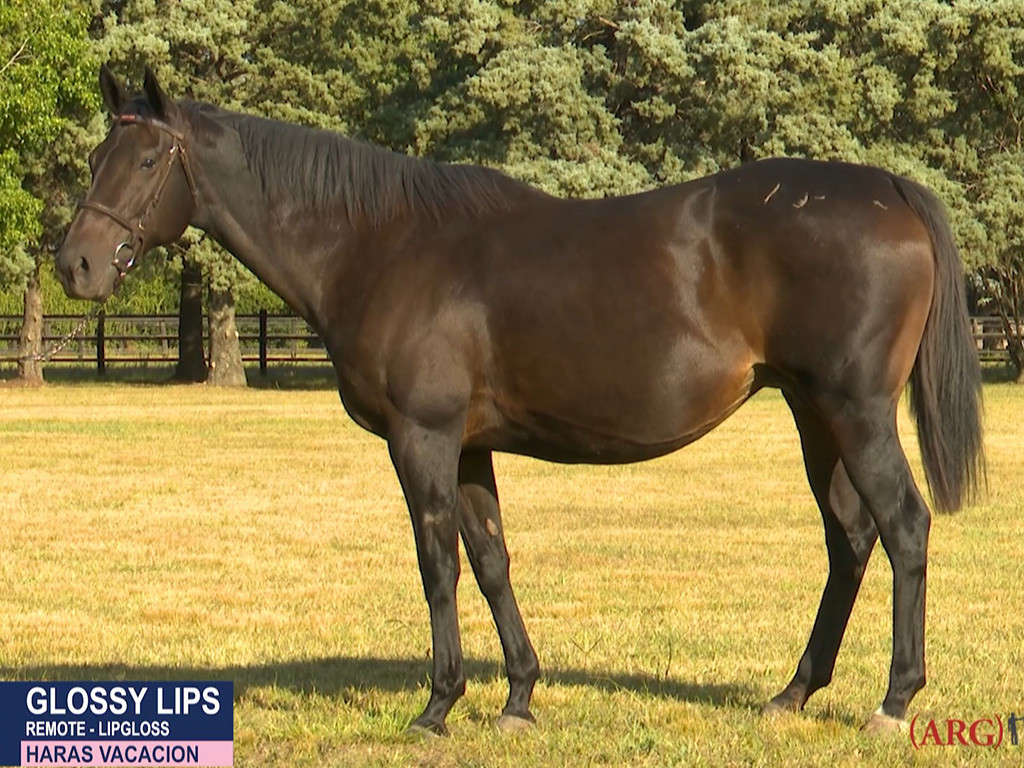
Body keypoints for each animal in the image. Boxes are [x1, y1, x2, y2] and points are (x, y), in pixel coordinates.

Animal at [56, 65, 984, 736]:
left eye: (147, 162)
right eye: (97, 160)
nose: (77, 265)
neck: (378, 244)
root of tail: (889, 189)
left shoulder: (421, 438)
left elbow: (437, 563)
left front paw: (438, 705)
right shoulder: (469, 446)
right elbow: (492, 559)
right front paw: (518, 699)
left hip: (855, 411)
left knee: (904, 527)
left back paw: (894, 702)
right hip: (812, 413)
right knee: (851, 538)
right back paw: (792, 693)